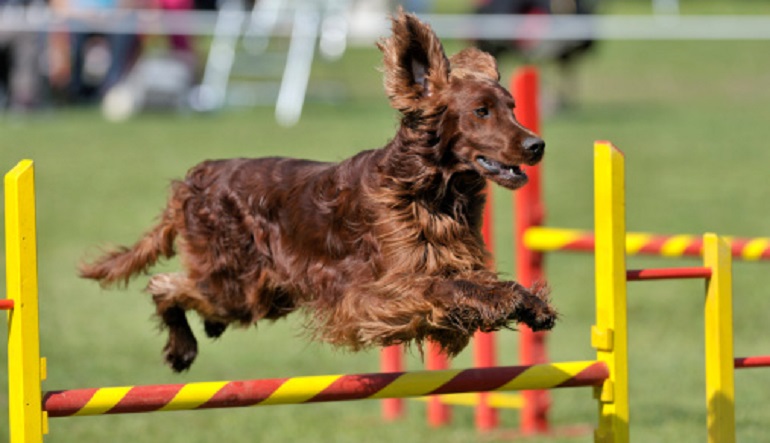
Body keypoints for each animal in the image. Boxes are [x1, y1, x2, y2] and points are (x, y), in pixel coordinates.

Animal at [81, 9, 556, 372]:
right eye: (481, 111)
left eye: (513, 107)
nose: (537, 145)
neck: (429, 192)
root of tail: (198, 177)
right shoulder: (381, 293)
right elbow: (449, 290)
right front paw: (506, 300)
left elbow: (476, 284)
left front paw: (529, 302)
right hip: (235, 283)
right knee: (163, 283)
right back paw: (182, 348)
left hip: (260, 294)